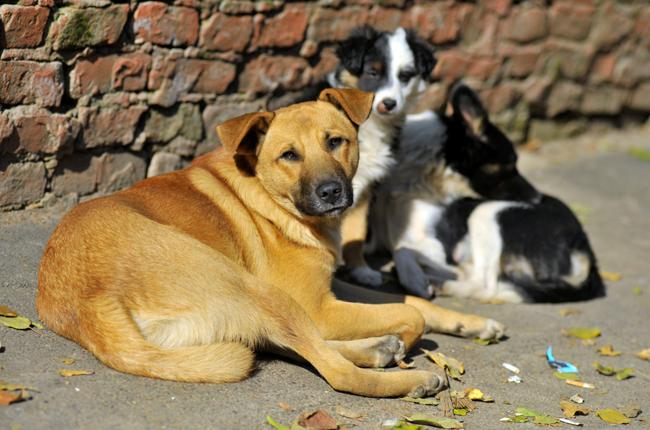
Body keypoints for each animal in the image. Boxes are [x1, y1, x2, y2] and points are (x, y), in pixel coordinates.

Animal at [36, 89, 502, 398]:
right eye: (289, 155)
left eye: (336, 141)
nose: (332, 192)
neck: (270, 196)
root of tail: (88, 304)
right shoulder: (319, 307)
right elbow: (409, 314)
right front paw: (409, 338)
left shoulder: (329, 287)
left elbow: (413, 302)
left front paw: (470, 323)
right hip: (258, 290)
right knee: (334, 371)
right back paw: (409, 376)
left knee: (289, 346)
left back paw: (376, 349)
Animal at [368, 83, 604, 302]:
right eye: (510, 165)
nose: (538, 199)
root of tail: (587, 252)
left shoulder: (438, 245)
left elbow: (403, 249)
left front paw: (415, 280)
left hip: (486, 213)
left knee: (485, 284)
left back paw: (441, 282)